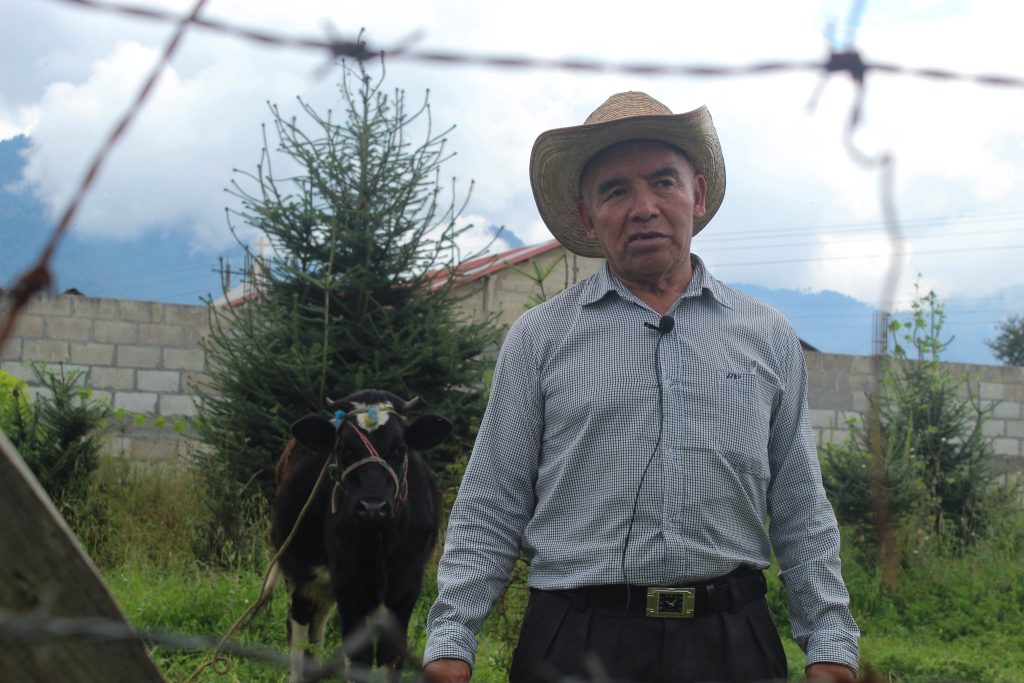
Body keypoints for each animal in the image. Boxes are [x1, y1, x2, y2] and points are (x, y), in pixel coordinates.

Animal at [270, 389, 450, 683]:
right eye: (345, 448)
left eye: (399, 449)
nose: (372, 507)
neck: (379, 541)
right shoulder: (349, 585)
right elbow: (358, 660)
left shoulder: (406, 587)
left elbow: (390, 657)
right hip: (299, 569)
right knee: (300, 626)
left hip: (324, 584)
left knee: (317, 625)